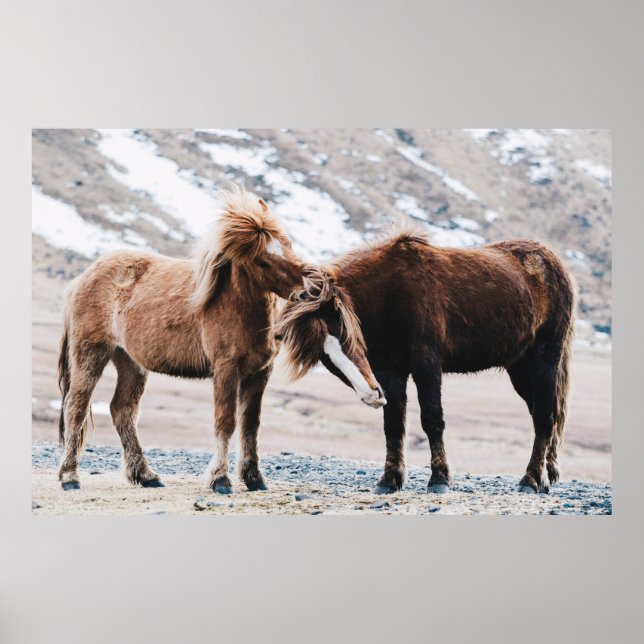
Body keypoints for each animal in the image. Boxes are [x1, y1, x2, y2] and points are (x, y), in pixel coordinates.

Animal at [57, 186, 309, 494]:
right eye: (263, 260)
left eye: (288, 244)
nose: (308, 289)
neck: (235, 303)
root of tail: (81, 279)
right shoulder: (226, 368)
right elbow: (225, 422)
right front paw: (220, 479)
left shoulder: (260, 372)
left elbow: (251, 424)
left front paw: (254, 479)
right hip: (91, 353)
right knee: (76, 407)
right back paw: (70, 477)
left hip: (129, 361)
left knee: (122, 410)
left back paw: (147, 475)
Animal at [275, 223, 576, 494]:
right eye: (323, 355)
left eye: (343, 332)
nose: (371, 395)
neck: (389, 292)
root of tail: (554, 263)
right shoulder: (389, 371)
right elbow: (393, 424)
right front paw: (389, 480)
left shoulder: (427, 364)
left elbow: (432, 418)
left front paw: (439, 479)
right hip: (520, 368)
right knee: (544, 414)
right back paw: (546, 476)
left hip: (544, 359)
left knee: (544, 416)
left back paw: (531, 480)